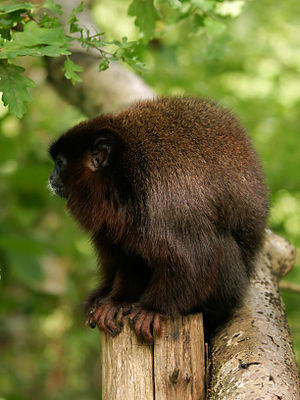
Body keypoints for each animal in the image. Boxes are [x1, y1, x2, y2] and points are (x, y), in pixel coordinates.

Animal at [49, 96, 270, 340]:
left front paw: (153, 309)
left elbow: (198, 256)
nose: (51, 177)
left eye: (60, 163)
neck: (123, 177)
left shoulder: (163, 200)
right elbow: (130, 256)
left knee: (222, 246)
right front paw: (118, 301)